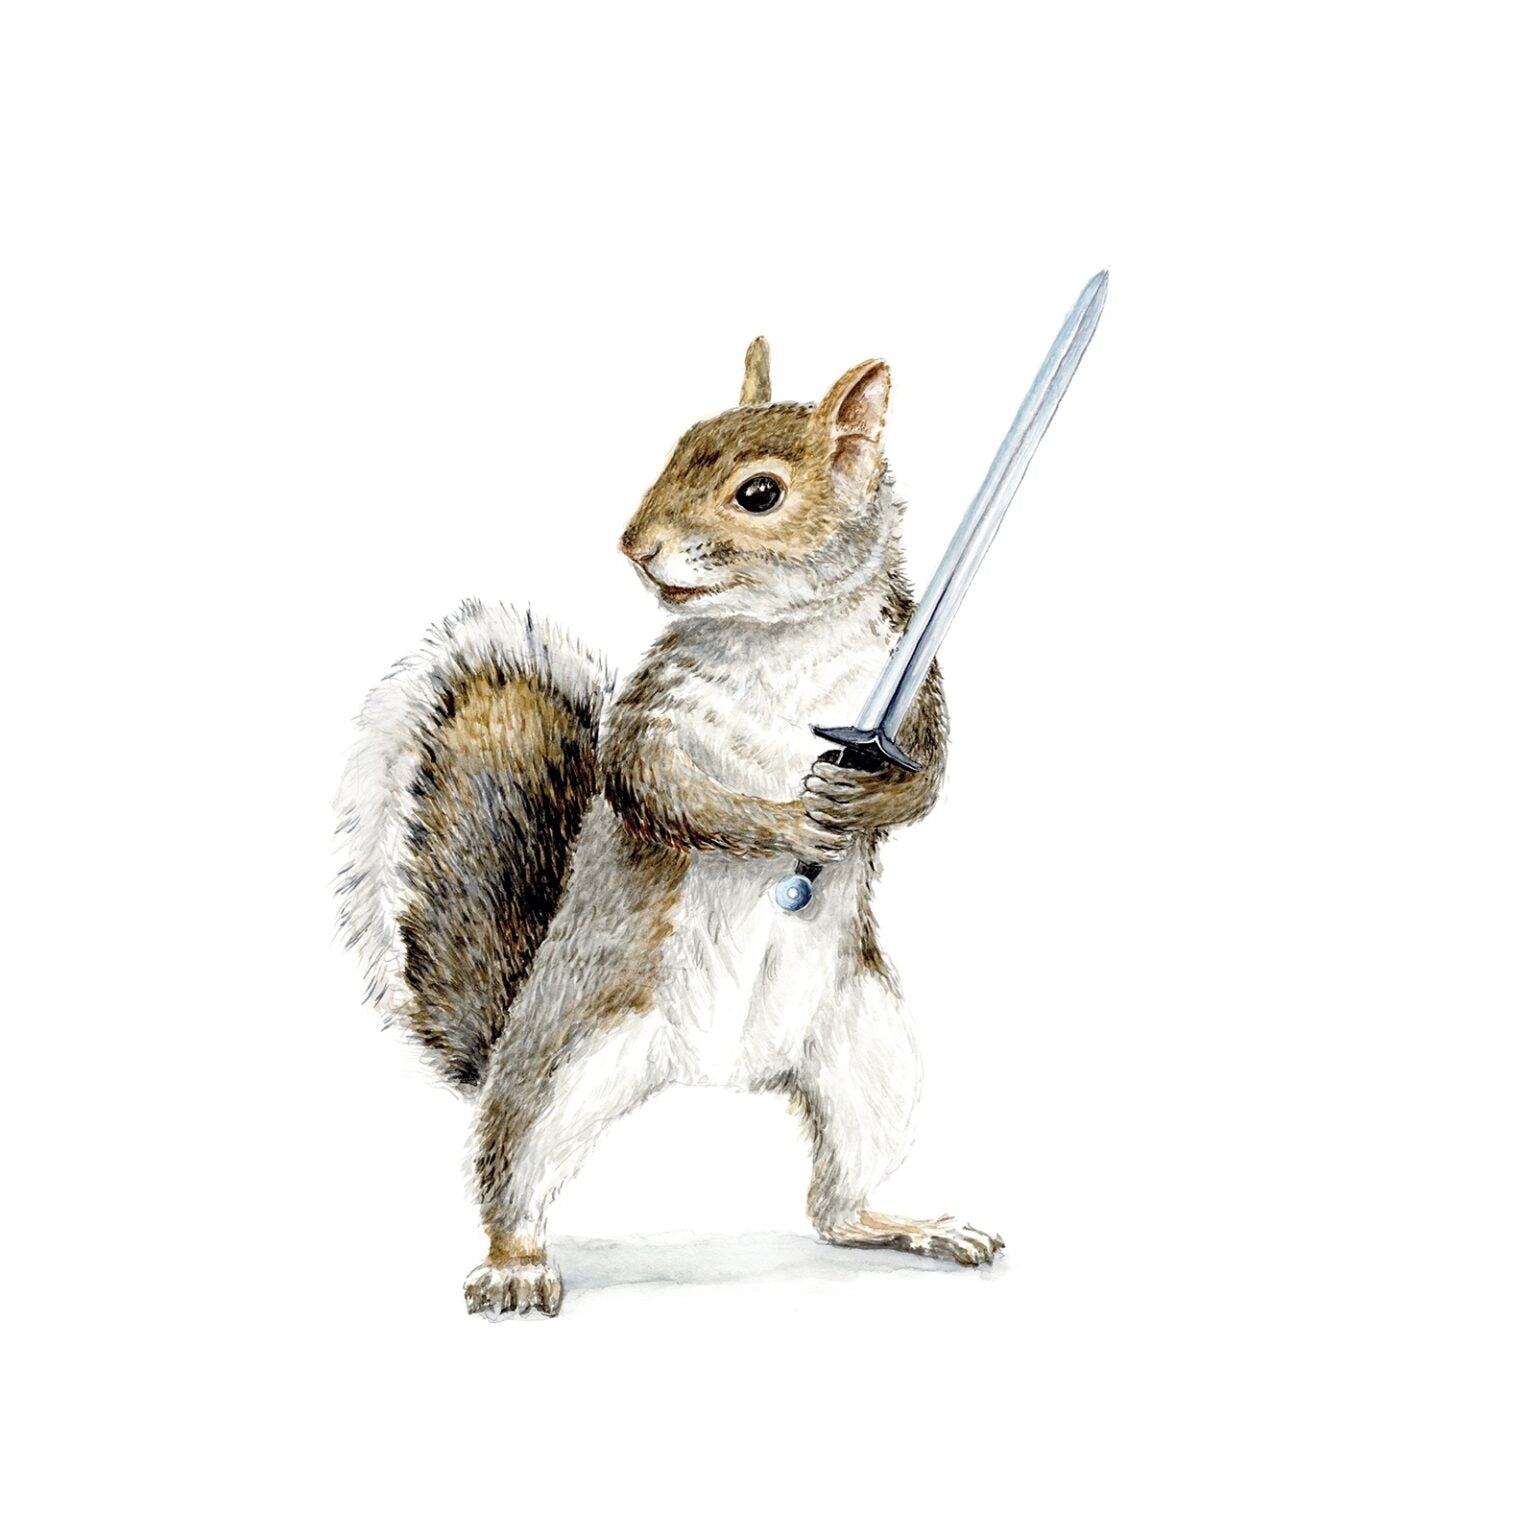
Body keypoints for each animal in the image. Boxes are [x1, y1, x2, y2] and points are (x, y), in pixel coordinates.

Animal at [335, 338, 1003, 1317]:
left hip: (869, 1053)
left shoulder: (910, 683)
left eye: (759, 492)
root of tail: (722, 1073)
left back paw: (910, 1225)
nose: (633, 544)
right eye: (678, 445)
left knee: (836, 1204)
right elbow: (664, 794)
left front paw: (859, 804)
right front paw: (789, 819)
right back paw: (515, 1265)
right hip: (561, 1065)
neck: (784, 634)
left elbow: (928, 777)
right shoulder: (657, 715)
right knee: (513, 1174)